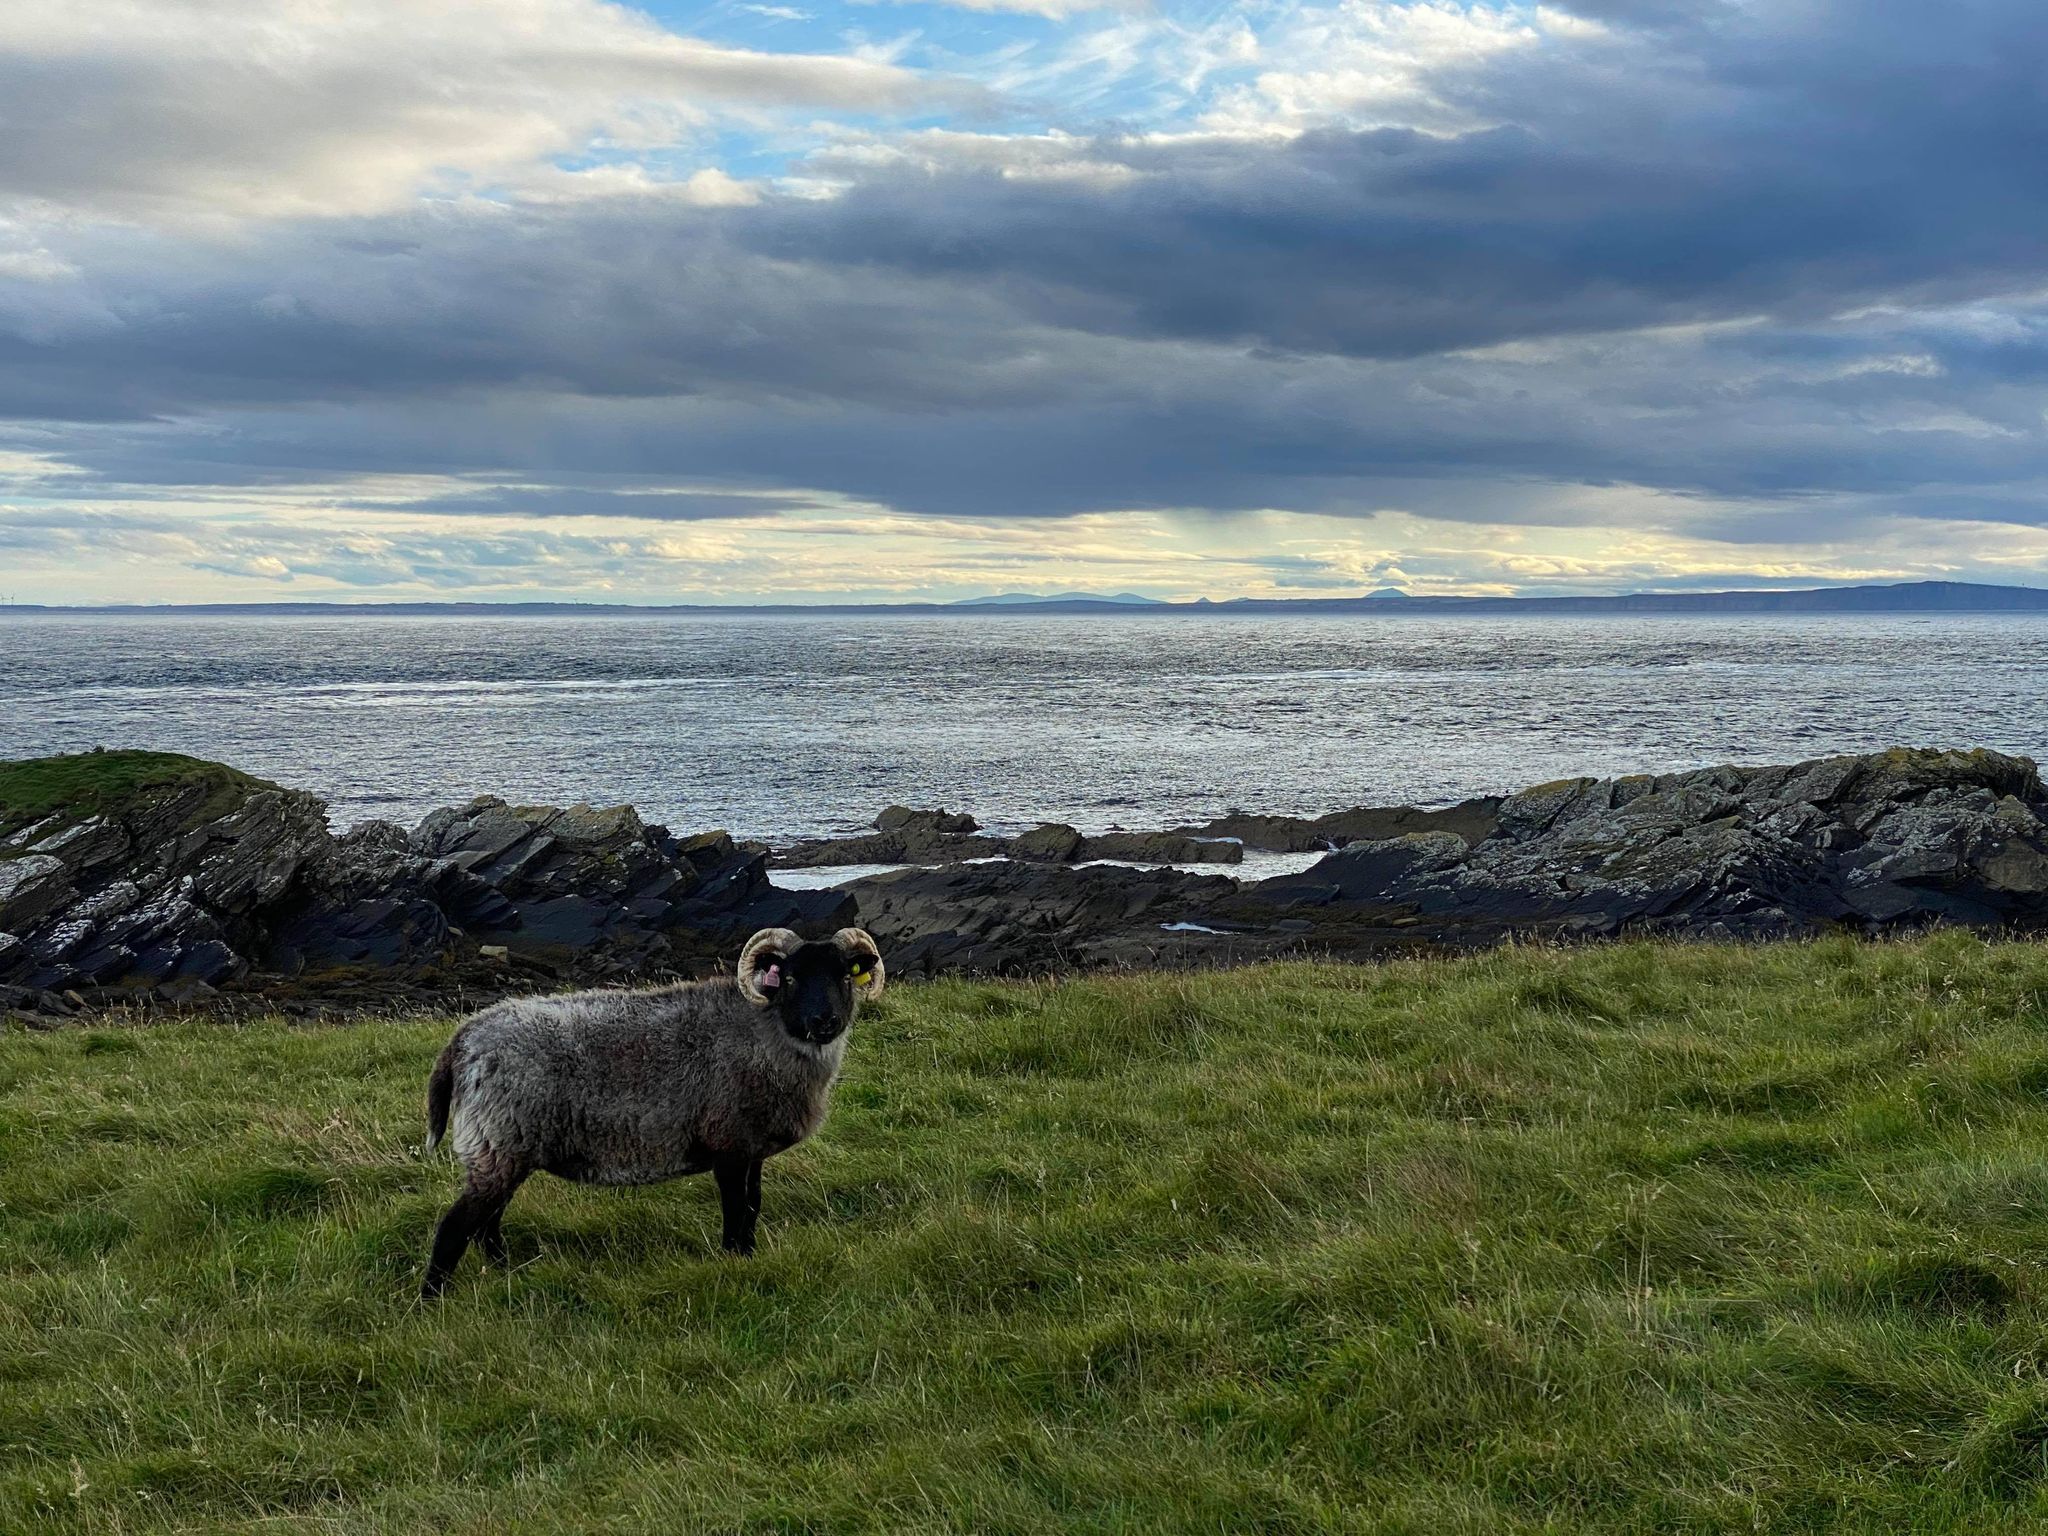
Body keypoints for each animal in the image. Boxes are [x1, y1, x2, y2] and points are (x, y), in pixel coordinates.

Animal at [419, 925, 884, 1302]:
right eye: (789, 977)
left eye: (845, 975)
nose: (825, 1021)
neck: (764, 1033)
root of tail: (464, 1039)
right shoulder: (728, 1146)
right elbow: (736, 1210)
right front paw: (734, 1261)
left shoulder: (751, 1148)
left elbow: (753, 1205)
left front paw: (749, 1257)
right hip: (497, 1144)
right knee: (456, 1226)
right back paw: (431, 1300)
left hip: (506, 1150)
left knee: (486, 1222)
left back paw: (506, 1272)